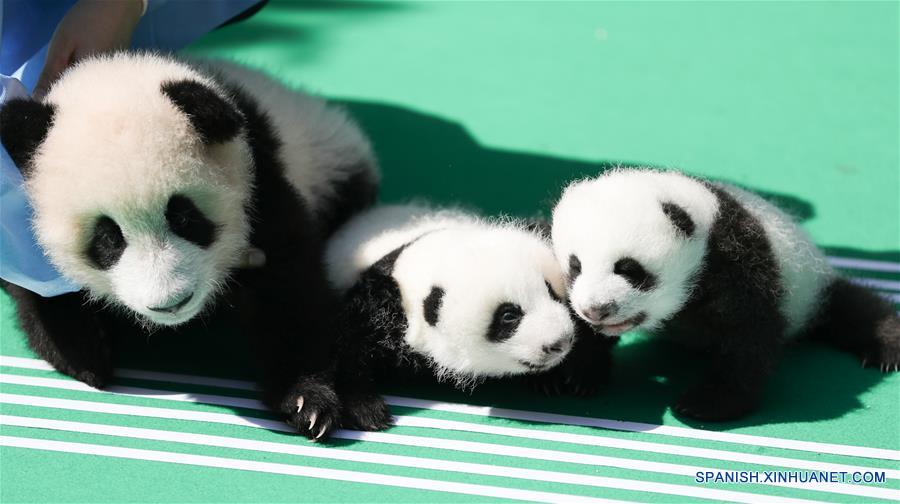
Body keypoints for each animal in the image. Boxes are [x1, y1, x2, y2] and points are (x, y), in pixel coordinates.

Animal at [0, 51, 379, 439]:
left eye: (182, 217)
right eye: (108, 238)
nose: (171, 302)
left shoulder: (258, 179)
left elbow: (290, 287)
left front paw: (308, 398)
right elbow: (35, 283)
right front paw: (84, 350)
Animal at [322, 204, 603, 431]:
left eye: (551, 291)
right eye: (508, 316)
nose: (561, 342)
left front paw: (576, 374)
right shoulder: (383, 302)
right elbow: (349, 339)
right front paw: (366, 410)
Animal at [552, 168, 900, 421]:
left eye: (629, 269)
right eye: (575, 266)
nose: (597, 309)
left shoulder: (738, 259)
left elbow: (748, 336)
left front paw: (705, 403)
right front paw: (580, 374)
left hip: (810, 291)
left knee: (854, 307)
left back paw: (887, 347)